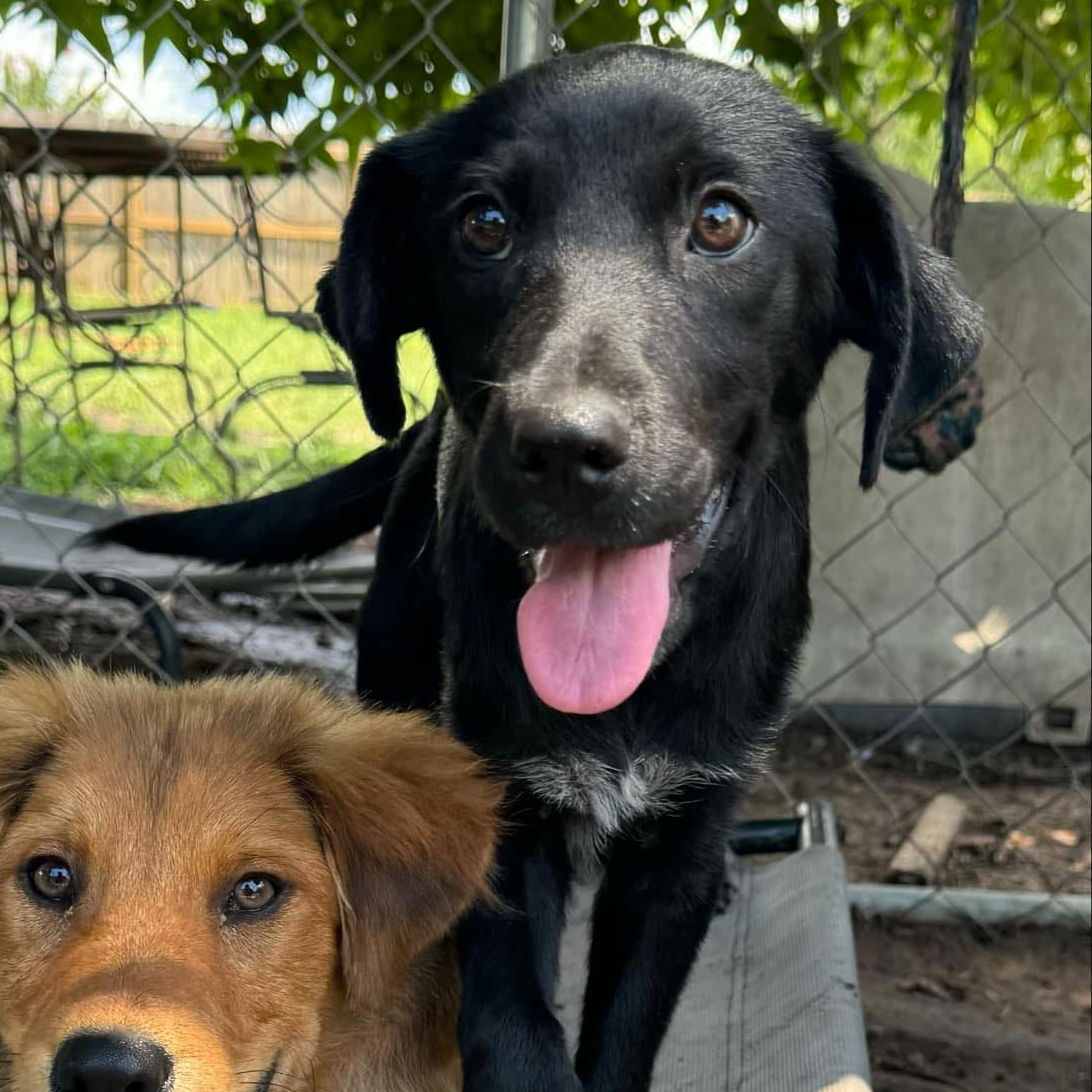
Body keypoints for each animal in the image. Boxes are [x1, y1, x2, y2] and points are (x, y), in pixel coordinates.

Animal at [98, 44, 982, 1092]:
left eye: (722, 220)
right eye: (484, 224)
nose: (562, 447)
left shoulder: (679, 843)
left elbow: (629, 1025)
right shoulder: (496, 820)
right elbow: (514, 1025)